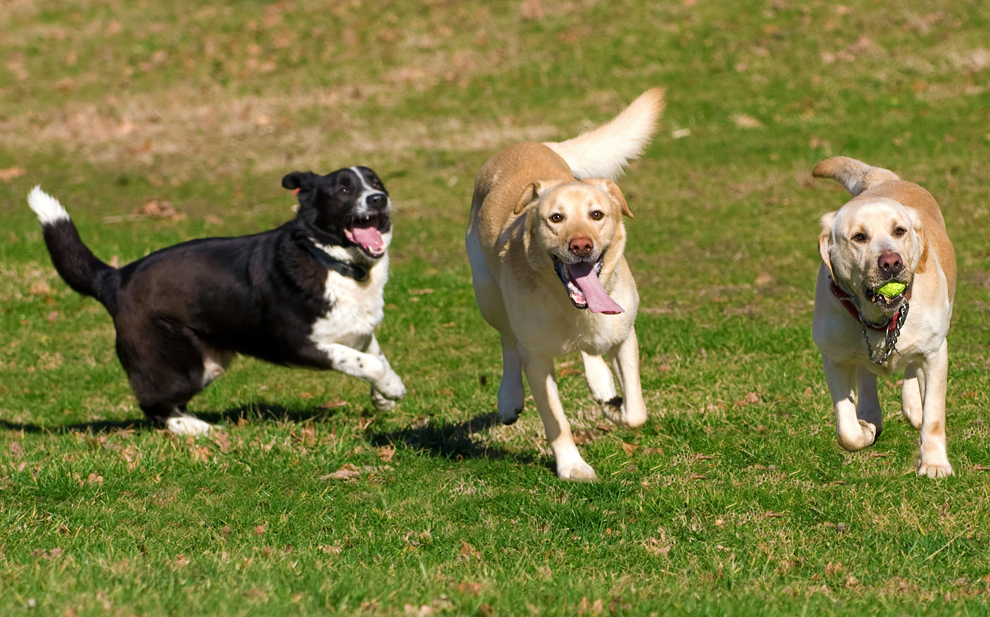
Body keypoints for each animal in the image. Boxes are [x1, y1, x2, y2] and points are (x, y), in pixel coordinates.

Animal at [27, 164, 406, 434]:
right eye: (344, 189)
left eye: (377, 183)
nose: (378, 199)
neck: (333, 261)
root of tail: (115, 278)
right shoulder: (301, 344)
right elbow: (367, 362)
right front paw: (391, 388)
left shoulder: (358, 331)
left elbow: (374, 355)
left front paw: (383, 396)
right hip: (183, 367)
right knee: (153, 405)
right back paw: (195, 428)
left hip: (208, 362)